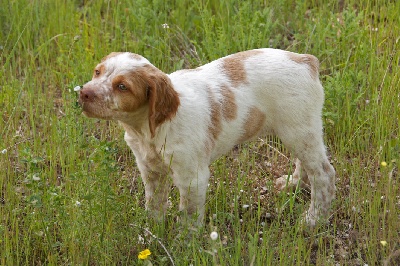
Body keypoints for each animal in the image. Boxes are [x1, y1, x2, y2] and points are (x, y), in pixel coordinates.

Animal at [77, 48, 334, 227]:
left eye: (122, 86)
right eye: (97, 72)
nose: (84, 93)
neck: (148, 129)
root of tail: (306, 61)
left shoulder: (192, 176)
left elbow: (189, 216)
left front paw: (184, 245)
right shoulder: (150, 170)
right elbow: (154, 204)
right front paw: (151, 232)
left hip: (299, 129)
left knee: (323, 174)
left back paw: (313, 220)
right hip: (298, 132)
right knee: (307, 165)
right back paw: (293, 183)